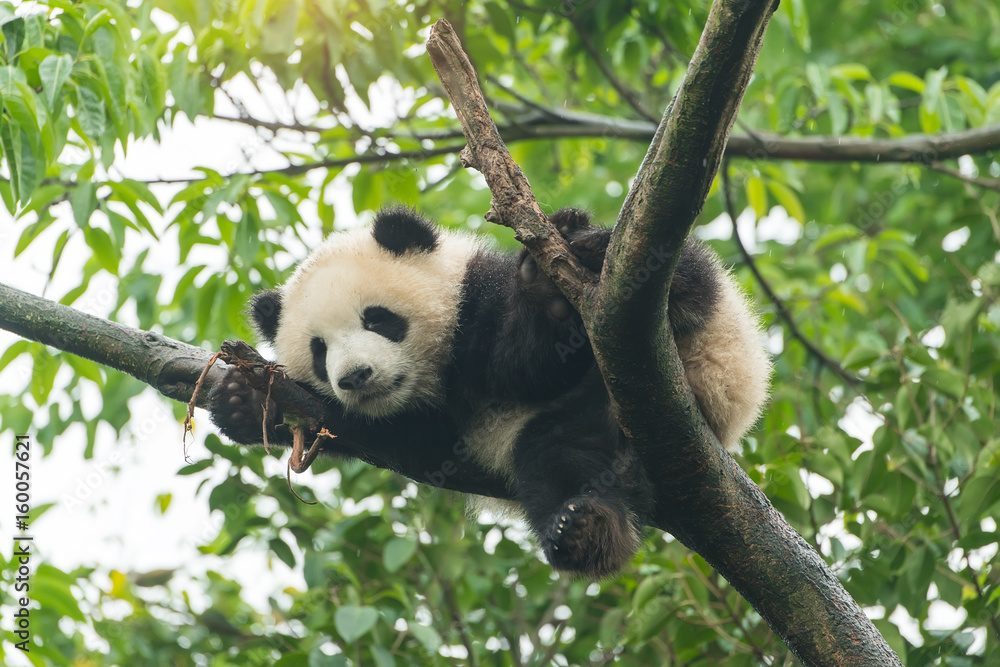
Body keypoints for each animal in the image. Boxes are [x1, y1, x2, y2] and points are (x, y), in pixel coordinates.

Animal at [209, 206, 771, 579]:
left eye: (378, 319)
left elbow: (532, 360)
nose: (356, 377)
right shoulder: (427, 424)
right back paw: (588, 532)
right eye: (320, 351)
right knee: (561, 457)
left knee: (679, 276)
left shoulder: (479, 296)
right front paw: (246, 402)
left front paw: (544, 286)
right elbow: (412, 443)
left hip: (694, 346)